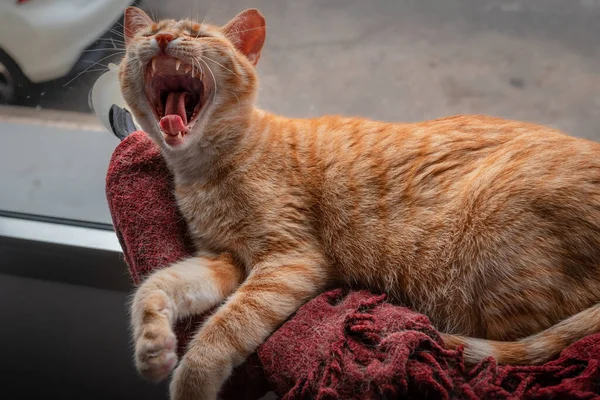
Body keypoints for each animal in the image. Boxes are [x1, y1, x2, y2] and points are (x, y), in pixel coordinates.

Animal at [119, 7, 600, 400]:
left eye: (198, 35)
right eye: (152, 33)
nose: (163, 39)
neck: (204, 170)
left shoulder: (288, 260)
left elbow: (223, 328)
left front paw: (190, 383)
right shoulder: (223, 260)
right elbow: (156, 285)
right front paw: (153, 346)